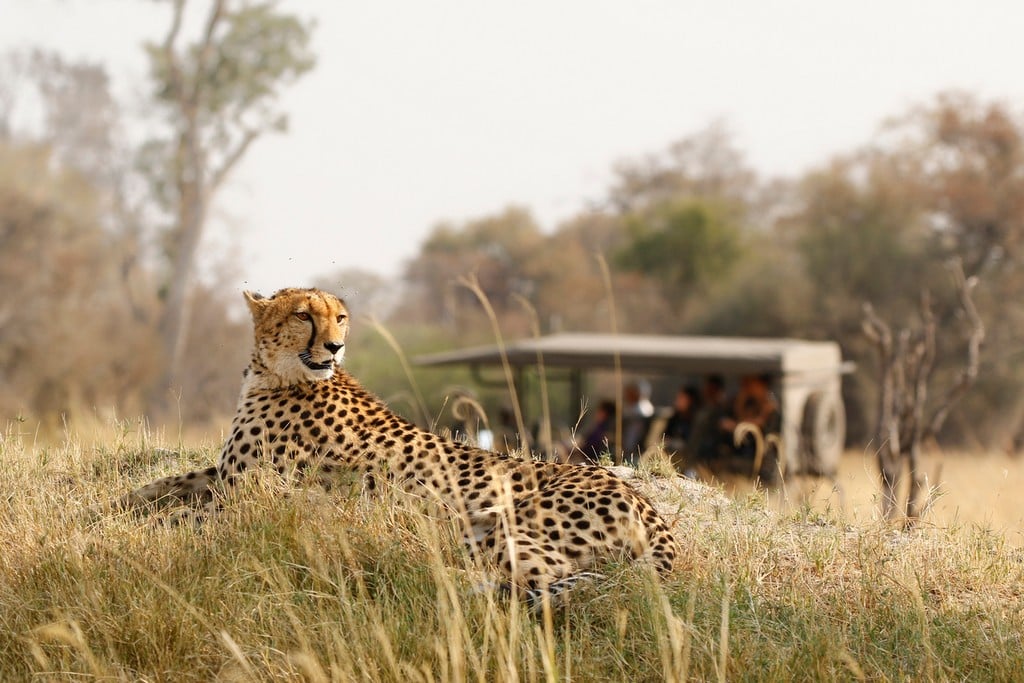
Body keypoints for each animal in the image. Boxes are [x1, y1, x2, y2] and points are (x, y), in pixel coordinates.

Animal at [119, 287, 678, 606]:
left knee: (554, 577)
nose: (336, 345)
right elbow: (163, 485)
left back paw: (441, 581)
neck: (277, 373)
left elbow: (181, 517)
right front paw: (118, 505)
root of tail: (645, 503)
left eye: (340, 317)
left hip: (493, 524)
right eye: (303, 316)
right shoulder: (225, 474)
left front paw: (133, 527)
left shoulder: (249, 493)